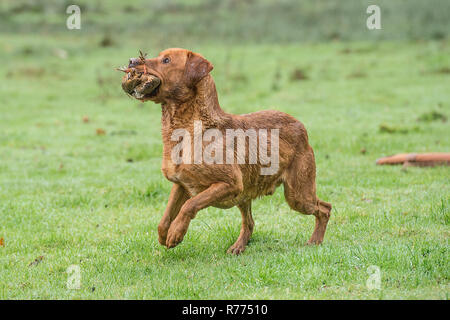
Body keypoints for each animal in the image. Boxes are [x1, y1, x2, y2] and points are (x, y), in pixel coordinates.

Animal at [119, 48, 330, 254]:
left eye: (166, 60)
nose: (131, 61)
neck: (189, 129)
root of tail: (299, 123)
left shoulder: (229, 183)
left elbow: (189, 205)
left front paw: (176, 233)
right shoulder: (181, 185)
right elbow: (164, 219)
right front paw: (165, 236)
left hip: (297, 195)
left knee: (325, 208)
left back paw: (315, 240)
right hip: (246, 195)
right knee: (250, 223)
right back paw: (238, 247)